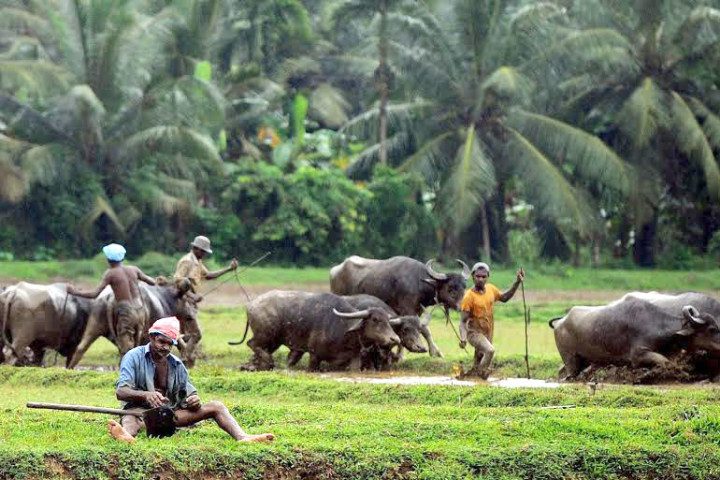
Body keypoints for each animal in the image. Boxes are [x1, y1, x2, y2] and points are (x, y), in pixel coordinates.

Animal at [240, 288, 400, 372]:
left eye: (388, 320)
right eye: (375, 320)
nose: (395, 339)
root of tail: (251, 305)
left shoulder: (354, 358)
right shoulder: (314, 356)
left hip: (274, 341)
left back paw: (251, 365)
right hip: (266, 335)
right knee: (252, 344)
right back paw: (264, 363)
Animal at [330, 256, 470, 358]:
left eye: (464, 286)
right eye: (451, 288)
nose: (462, 307)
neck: (419, 282)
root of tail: (334, 271)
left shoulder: (418, 310)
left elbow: (422, 329)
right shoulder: (407, 309)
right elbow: (423, 329)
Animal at [548, 290, 720, 380]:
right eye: (712, 329)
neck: (657, 325)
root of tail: (560, 322)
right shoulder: (637, 355)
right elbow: (664, 362)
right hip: (570, 359)